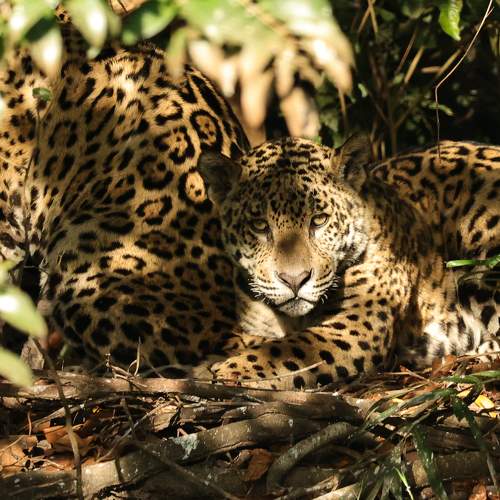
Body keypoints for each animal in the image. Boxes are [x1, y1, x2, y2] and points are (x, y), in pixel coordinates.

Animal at [0, 22, 498, 389]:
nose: (295, 280)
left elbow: (288, 351)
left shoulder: (354, 325)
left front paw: (228, 371)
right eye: (260, 226)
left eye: (319, 221)